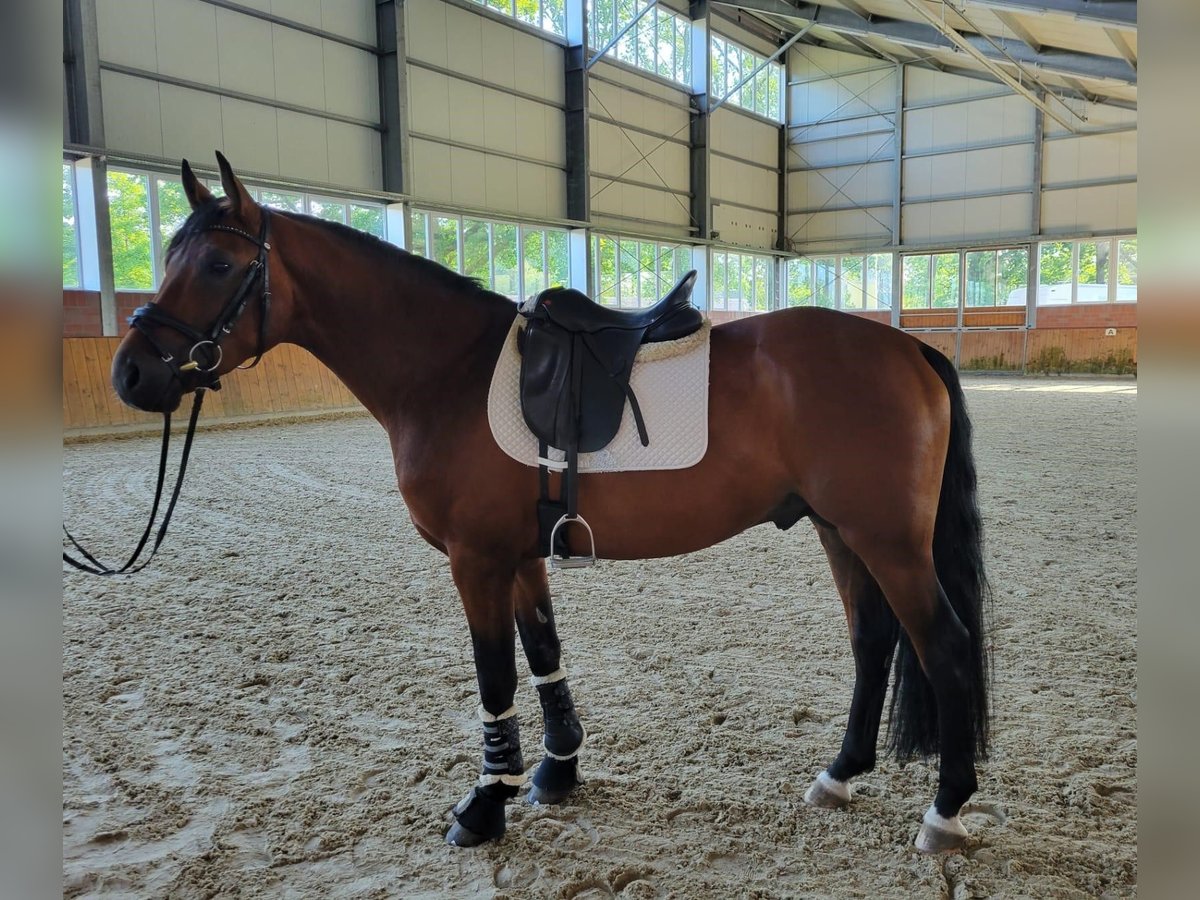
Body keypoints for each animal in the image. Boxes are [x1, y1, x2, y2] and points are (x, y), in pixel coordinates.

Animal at [108, 158, 988, 854]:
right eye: (174, 254)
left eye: (218, 263)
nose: (131, 374)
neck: (447, 370)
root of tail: (908, 347)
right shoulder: (523, 555)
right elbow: (543, 656)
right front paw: (557, 771)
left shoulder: (476, 560)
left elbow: (495, 675)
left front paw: (483, 805)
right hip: (840, 531)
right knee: (874, 642)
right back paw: (838, 776)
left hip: (887, 541)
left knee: (943, 647)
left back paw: (944, 813)